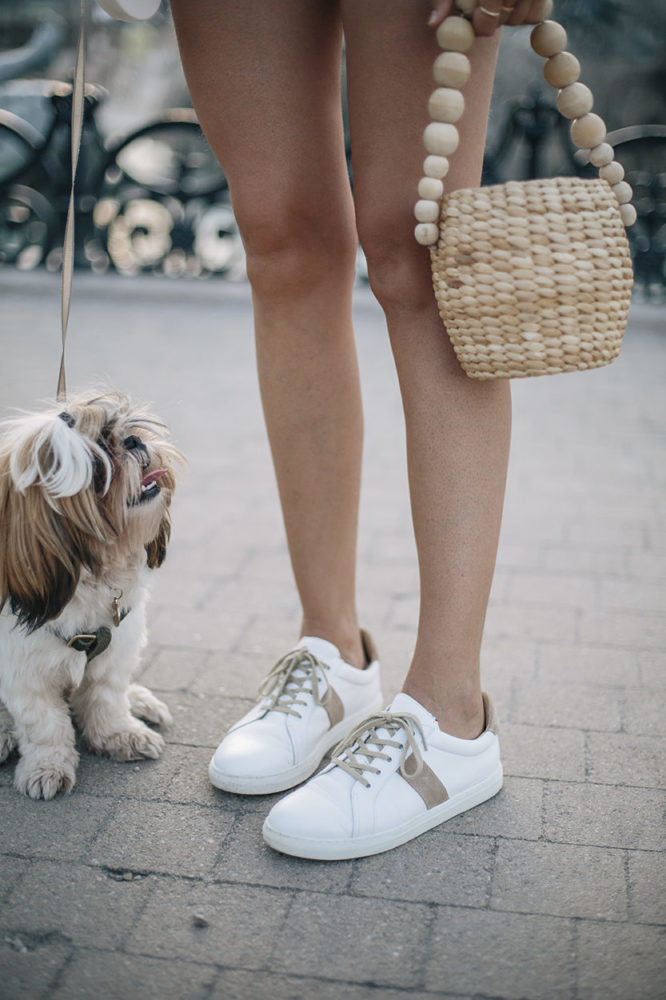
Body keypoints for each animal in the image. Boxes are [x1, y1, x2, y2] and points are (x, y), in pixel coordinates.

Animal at [0, 390, 182, 796]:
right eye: (99, 467)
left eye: (122, 429)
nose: (134, 441)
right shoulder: (21, 670)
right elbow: (45, 724)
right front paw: (47, 767)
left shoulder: (117, 643)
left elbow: (106, 697)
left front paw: (119, 734)